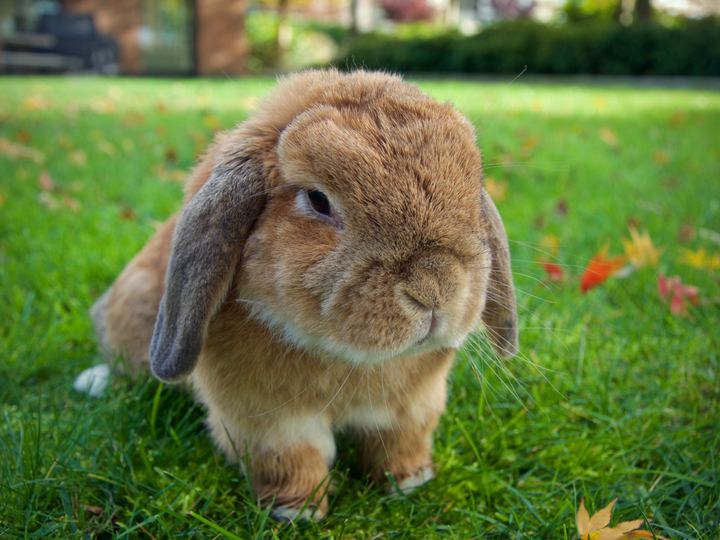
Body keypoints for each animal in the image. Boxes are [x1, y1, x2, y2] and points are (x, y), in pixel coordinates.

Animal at [80, 69, 518, 520]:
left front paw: (410, 481)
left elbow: (400, 443)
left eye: (473, 188)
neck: (349, 360)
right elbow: (293, 459)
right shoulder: (268, 421)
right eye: (318, 200)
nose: (435, 288)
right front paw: (299, 511)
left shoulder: (412, 408)